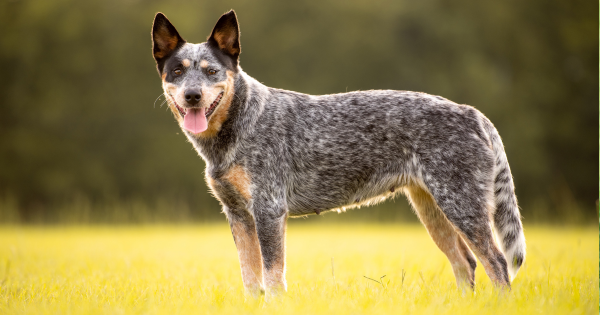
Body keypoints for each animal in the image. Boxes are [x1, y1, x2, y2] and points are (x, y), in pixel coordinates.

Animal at [150, 9, 524, 296]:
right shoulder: (238, 215)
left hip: (462, 207)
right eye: (177, 71)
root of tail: (472, 113)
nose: (193, 96)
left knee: (496, 263)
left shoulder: (269, 210)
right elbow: (250, 278)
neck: (240, 124)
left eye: (212, 71)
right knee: (466, 264)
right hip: (432, 210)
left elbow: (272, 277)